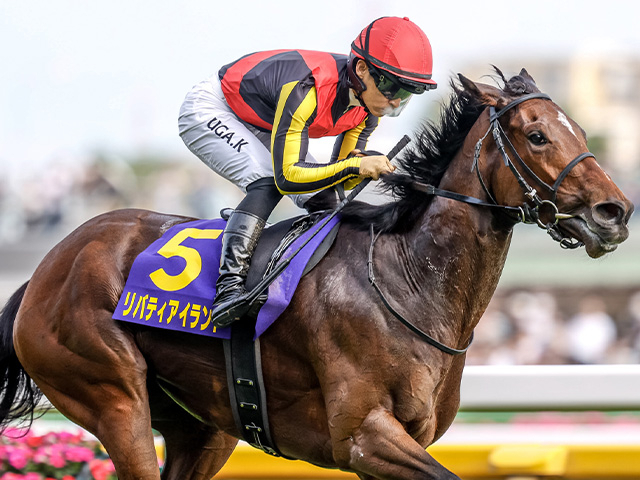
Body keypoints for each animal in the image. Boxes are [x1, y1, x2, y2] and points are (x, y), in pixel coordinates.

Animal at [0, 68, 633, 480]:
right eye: (537, 135)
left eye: (580, 130)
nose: (616, 212)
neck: (409, 280)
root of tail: (44, 269)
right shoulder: (362, 437)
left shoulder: (400, 441)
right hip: (111, 395)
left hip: (202, 426)